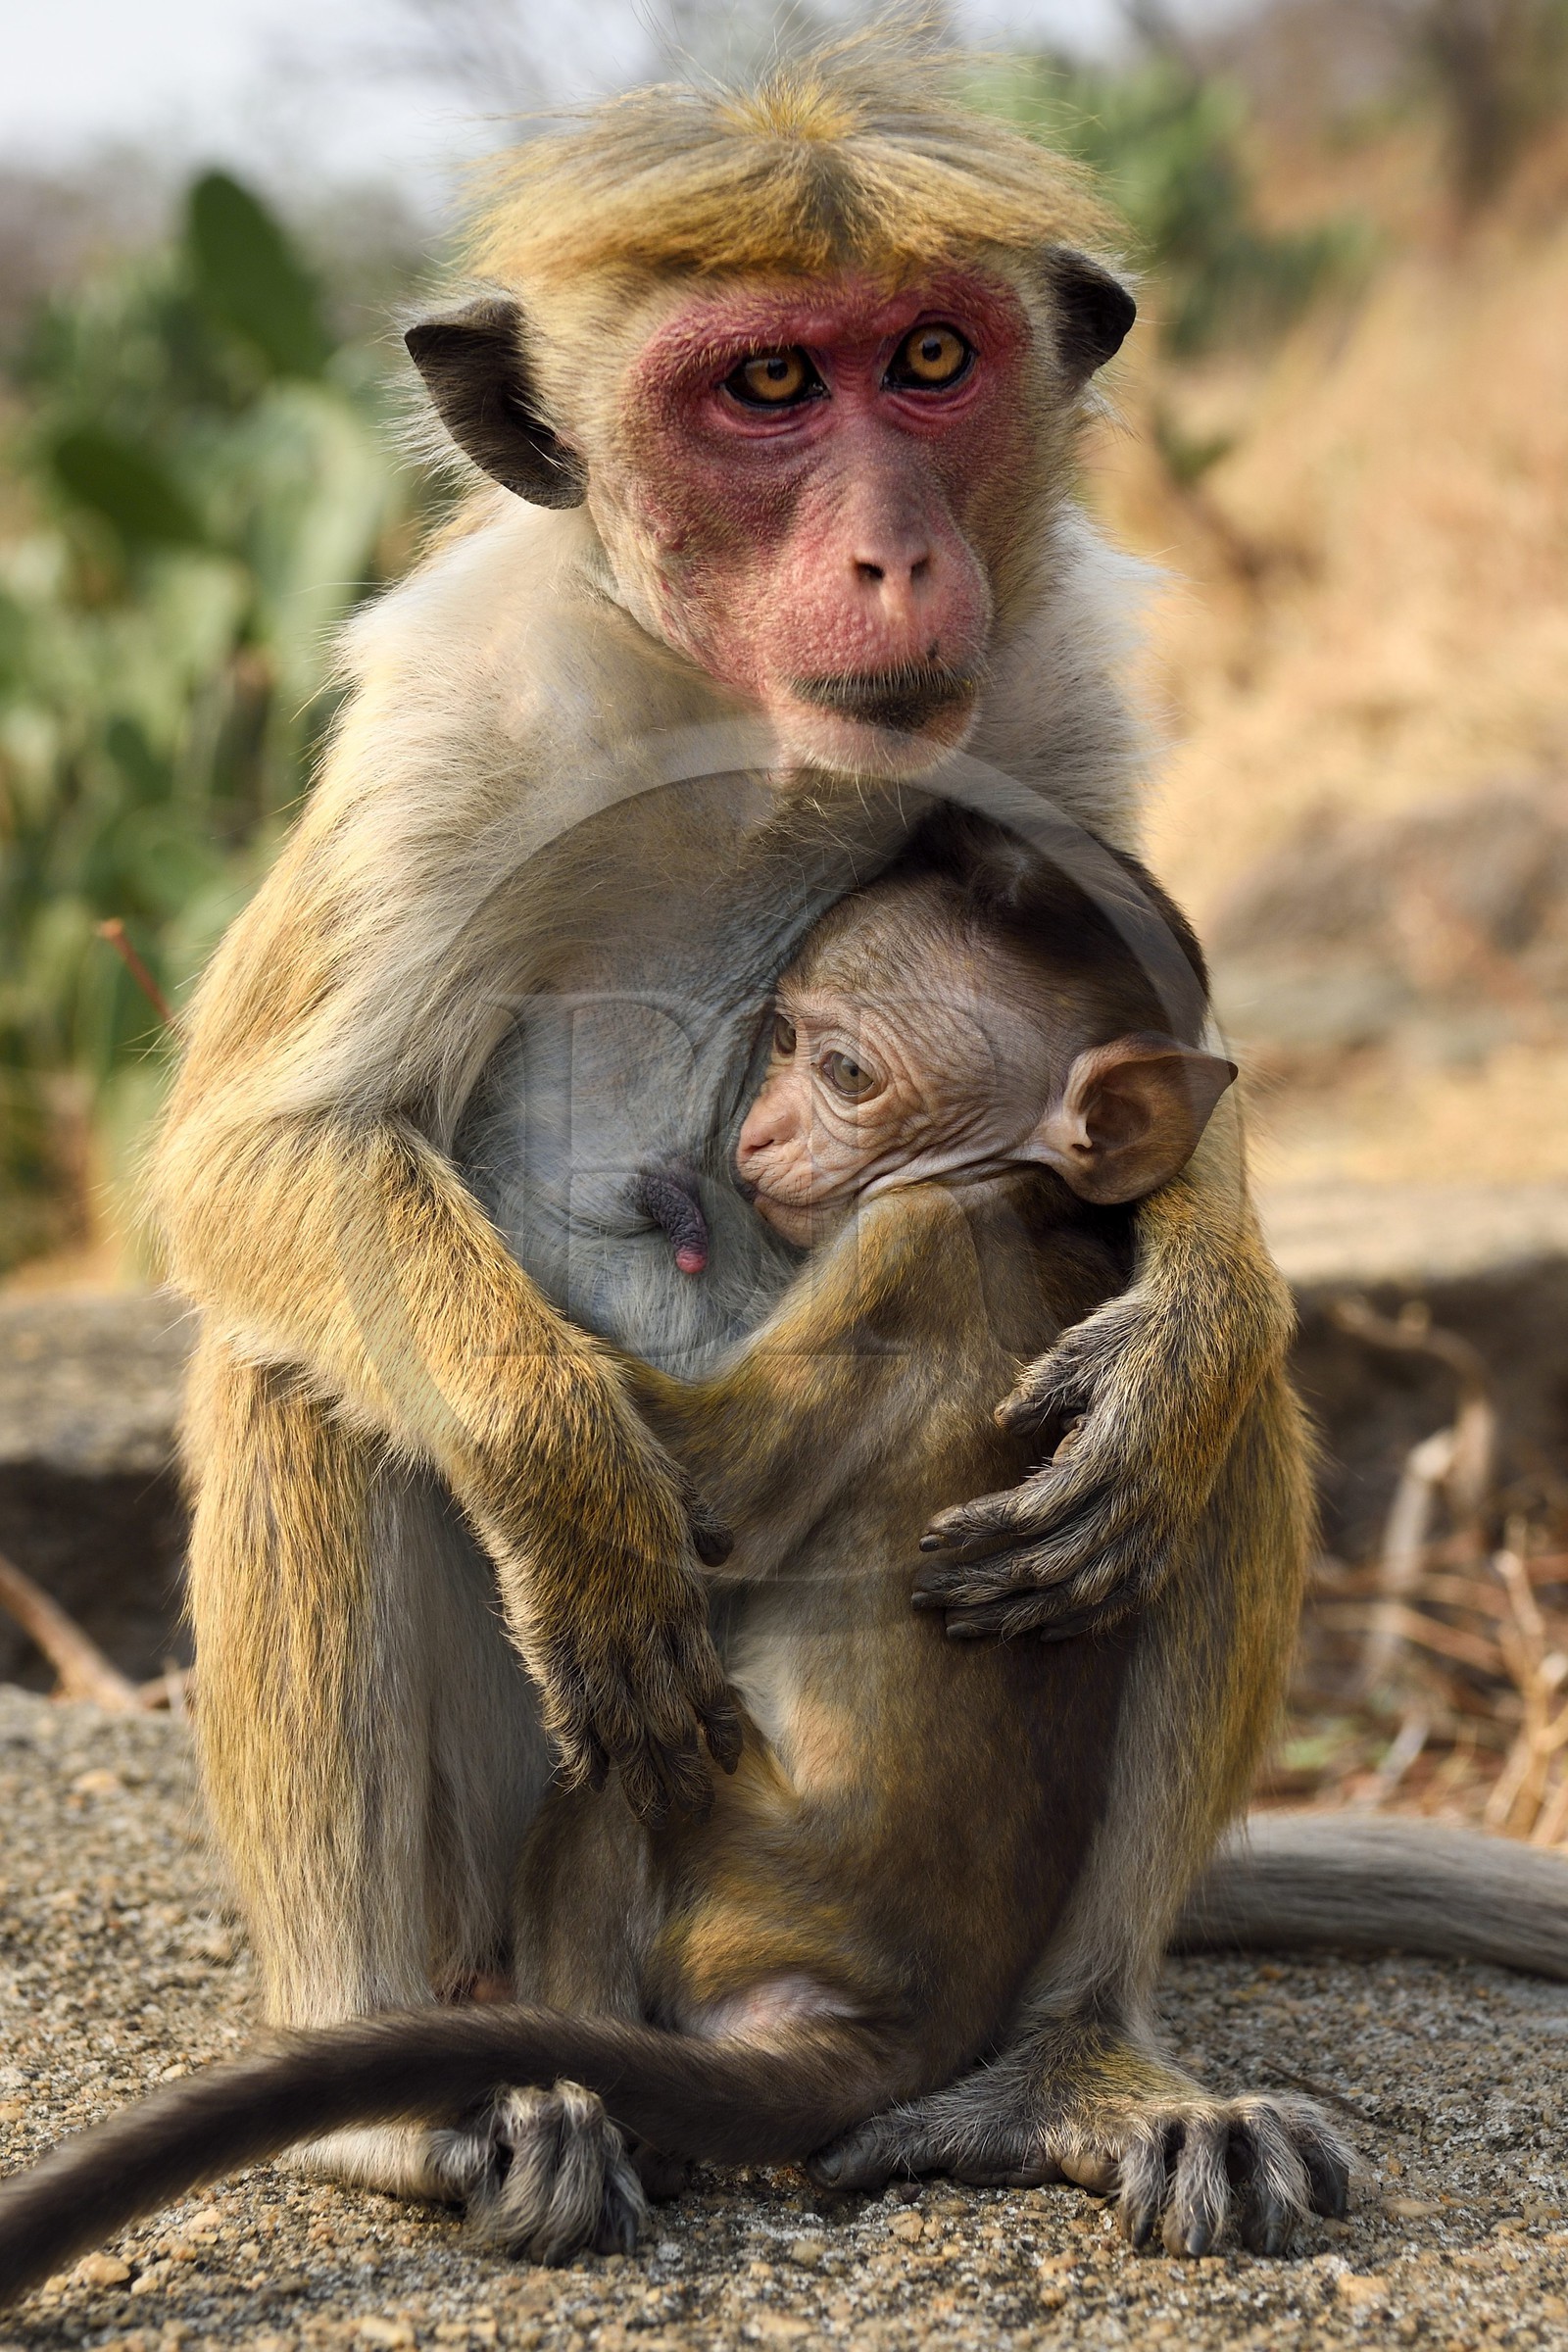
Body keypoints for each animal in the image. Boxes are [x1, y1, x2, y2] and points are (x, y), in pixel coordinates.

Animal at [145, 39, 1322, 2214]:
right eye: (766, 388)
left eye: (929, 360)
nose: (895, 556)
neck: (754, 740)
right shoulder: (452, 729)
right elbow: (260, 1159)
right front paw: (574, 1483)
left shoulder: (1045, 690)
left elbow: (1163, 1125)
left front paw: (1197, 1316)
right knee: (297, 1379)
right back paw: (392, 2100)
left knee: (1206, 1442)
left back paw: (1074, 2060)